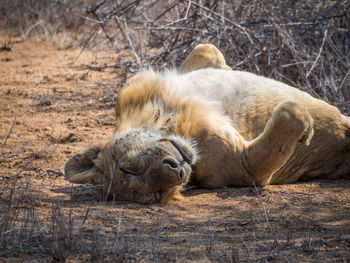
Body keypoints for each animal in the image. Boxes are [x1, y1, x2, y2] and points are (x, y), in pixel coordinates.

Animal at [64, 43, 350, 204]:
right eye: (157, 195)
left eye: (128, 169)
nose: (177, 171)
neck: (166, 117)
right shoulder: (248, 167)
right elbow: (288, 115)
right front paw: (306, 126)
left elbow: (205, 47)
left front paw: (227, 68)